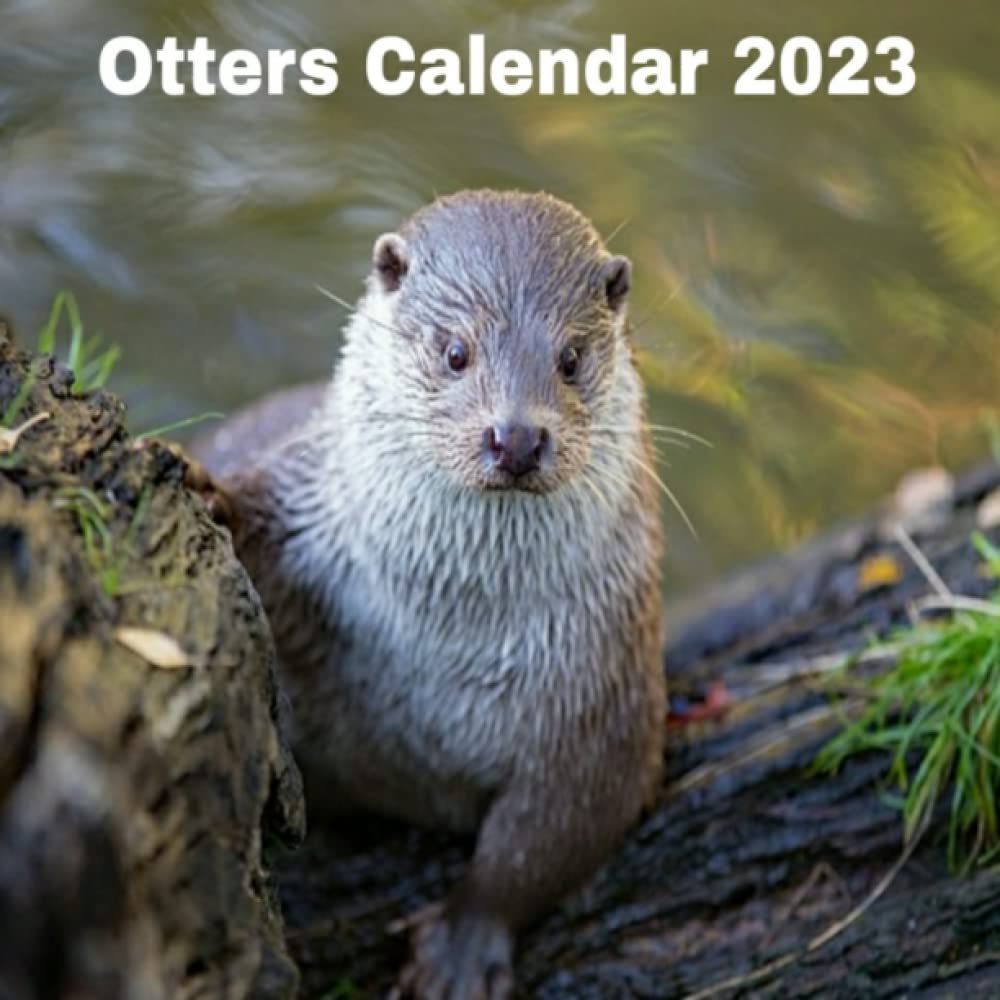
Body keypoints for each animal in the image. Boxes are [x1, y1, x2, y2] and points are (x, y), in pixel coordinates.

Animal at [192, 190, 665, 999]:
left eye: (571, 359)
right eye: (455, 352)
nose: (516, 437)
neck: (442, 632)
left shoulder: (602, 691)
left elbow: (548, 837)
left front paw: (460, 949)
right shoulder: (304, 515)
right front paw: (211, 499)